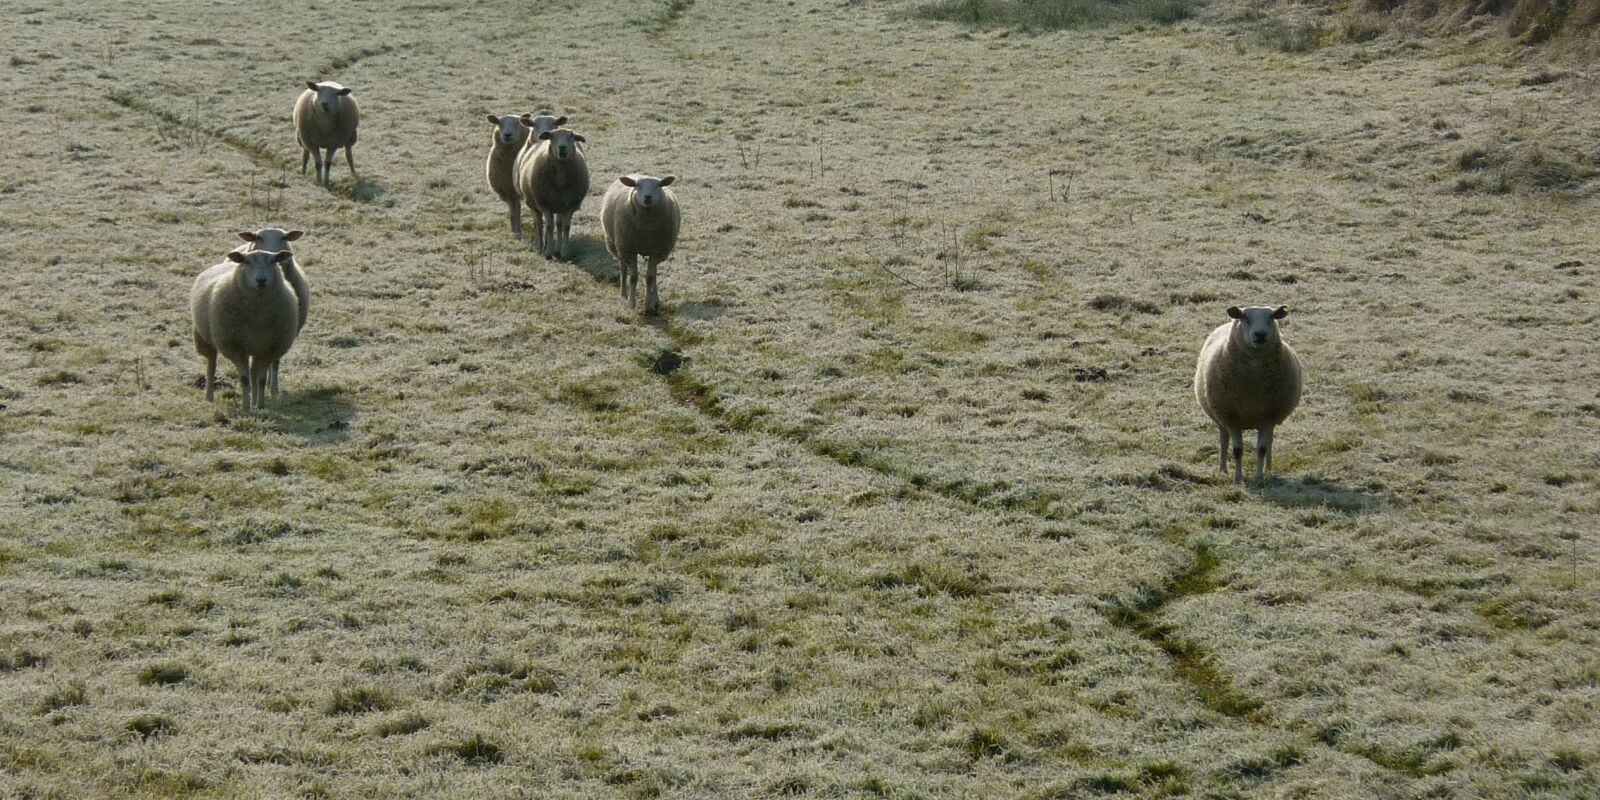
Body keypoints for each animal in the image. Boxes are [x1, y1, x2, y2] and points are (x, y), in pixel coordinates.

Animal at [191, 249, 301, 412]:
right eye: (247, 262)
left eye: (273, 261)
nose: (261, 280)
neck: (258, 315)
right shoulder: (236, 347)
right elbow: (244, 379)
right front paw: (246, 407)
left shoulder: (269, 349)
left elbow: (261, 379)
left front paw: (260, 406)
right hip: (204, 339)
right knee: (211, 366)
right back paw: (209, 397)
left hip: (255, 347)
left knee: (253, 373)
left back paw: (255, 400)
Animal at [235, 228, 309, 396]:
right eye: (258, 237)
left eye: (284, 237)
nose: (272, 254)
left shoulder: (283, 334)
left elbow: (274, 361)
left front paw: (274, 389)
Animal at [513, 126, 588, 259]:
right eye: (552, 136)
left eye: (571, 136)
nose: (562, 147)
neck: (560, 179)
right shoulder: (544, 204)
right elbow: (548, 226)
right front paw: (548, 253)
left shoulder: (570, 205)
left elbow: (565, 226)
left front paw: (564, 252)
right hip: (533, 204)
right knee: (538, 224)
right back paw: (540, 247)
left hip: (559, 205)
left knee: (558, 224)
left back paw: (557, 250)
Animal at [600, 174, 680, 316]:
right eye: (637, 185)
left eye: (658, 185)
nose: (648, 197)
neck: (646, 227)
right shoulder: (629, 249)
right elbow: (633, 277)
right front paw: (632, 302)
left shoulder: (656, 251)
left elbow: (650, 277)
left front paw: (648, 305)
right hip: (617, 246)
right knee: (623, 267)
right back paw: (623, 294)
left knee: (654, 273)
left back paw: (655, 300)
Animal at [1193, 305, 1303, 485]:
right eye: (1245, 317)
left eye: (1272, 317)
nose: (1260, 334)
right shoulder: (1231, 418)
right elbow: (1237, 450)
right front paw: (1238, 479)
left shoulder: (1268, 417)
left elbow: (1262, 449)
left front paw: (1259, 478)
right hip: (1221, 417)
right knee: (1224, 440)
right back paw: (1222, 469)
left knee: (1270, 442)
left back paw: (1268, 469)